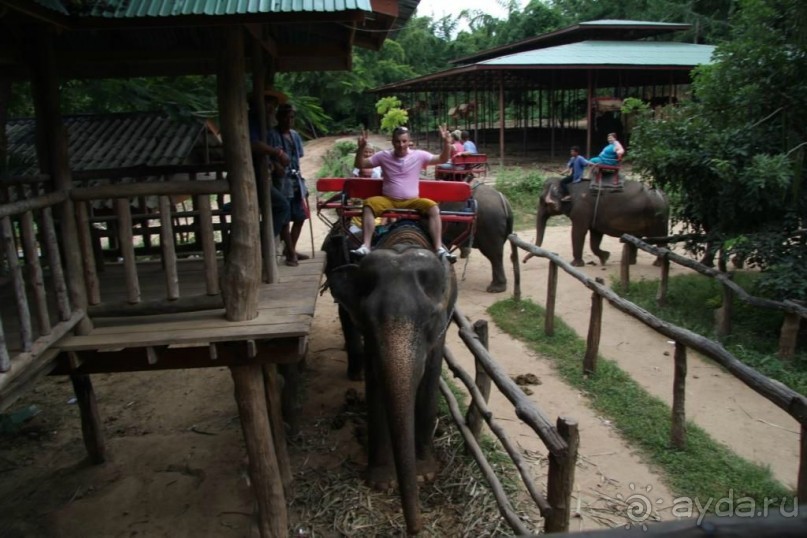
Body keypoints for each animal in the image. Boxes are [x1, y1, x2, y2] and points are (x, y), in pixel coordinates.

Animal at [324, 222, 460, 532]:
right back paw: (354, 373)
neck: (402, 244)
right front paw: (382, 483)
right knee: (344, 317)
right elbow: (376, 381)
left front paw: (424, 476)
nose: (415, 529)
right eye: (369, 321)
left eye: (430, 321)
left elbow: (431, 378)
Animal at [524, 178, 668, 266]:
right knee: (635, 239)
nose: (523, 261)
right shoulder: (594, 215)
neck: (568, 185)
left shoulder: (582, 210)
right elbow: (595, 236)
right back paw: (630, 263)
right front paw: (605, 258)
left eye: (544, 202)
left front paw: (575, 264)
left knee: (660, 239)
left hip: (657, 217)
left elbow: (578, 232)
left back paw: (658, 264)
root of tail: (663, 195)